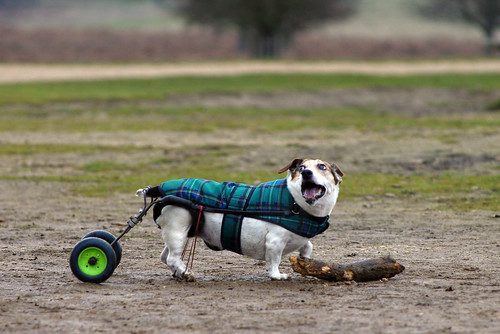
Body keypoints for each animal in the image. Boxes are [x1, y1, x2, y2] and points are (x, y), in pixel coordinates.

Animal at [135, 158, 342, 280]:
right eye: (301, 168)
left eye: (322, 166)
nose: (306, 173)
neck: (295, 203)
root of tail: (160, 188)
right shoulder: (275, 242)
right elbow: (274, 261)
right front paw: (277, 275)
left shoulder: (300, 238)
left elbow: (307, 246)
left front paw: (306, 262)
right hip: (178, 230)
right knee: (171, 258)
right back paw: (185, 272)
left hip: (179, 233)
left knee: (165, 257)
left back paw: (179, 273)